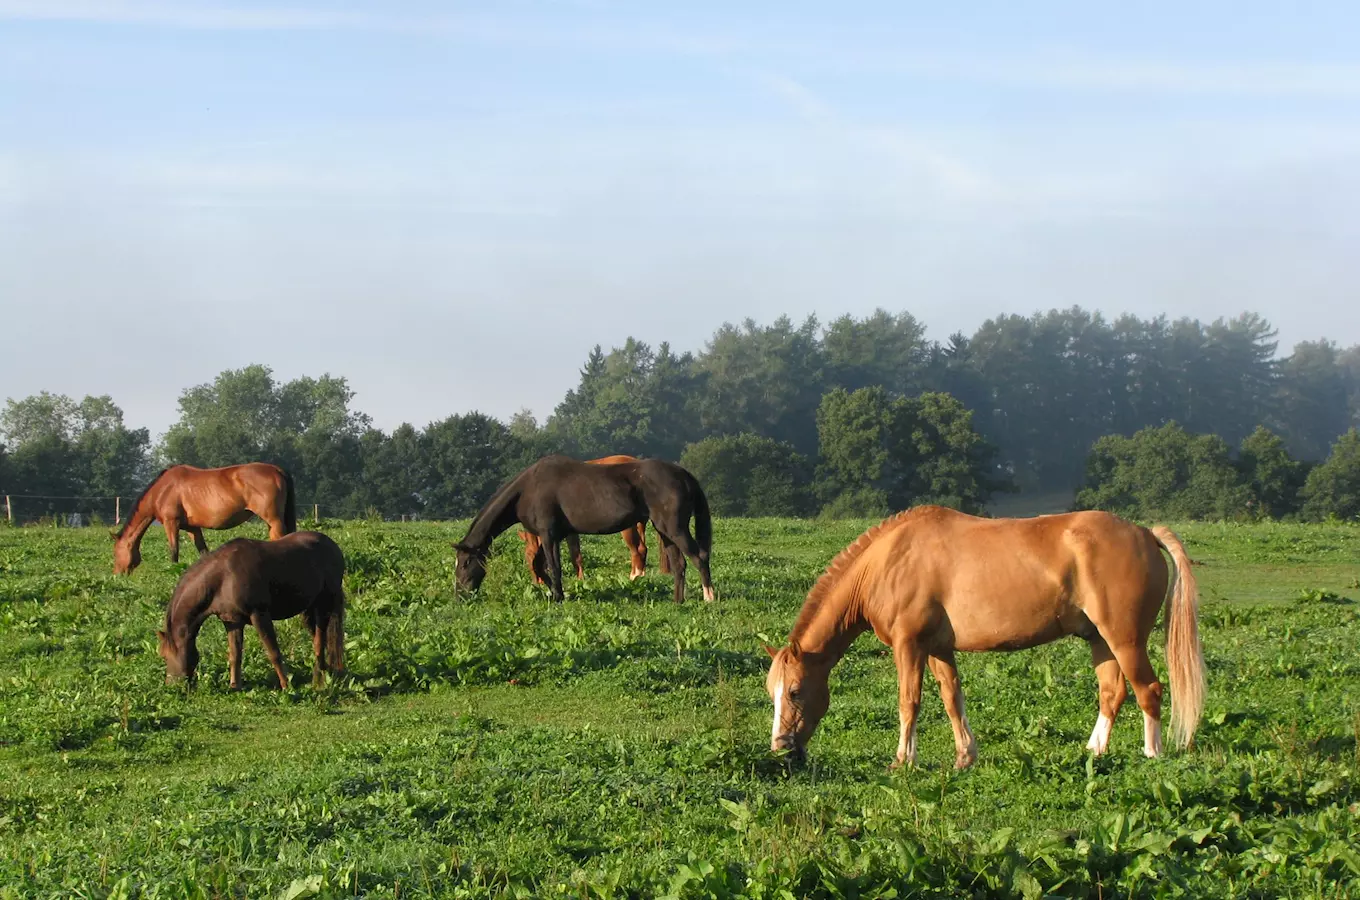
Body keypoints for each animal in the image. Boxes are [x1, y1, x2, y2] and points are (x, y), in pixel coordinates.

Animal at [113, 464, 295, 579]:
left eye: (115, 553)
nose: (117, 574)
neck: (162, 489)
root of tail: (277, 470)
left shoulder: (171, 523)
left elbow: (174, 550)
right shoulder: (192, 528)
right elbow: (203, 551)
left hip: (274, 521)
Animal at [156, 532, 345, 693]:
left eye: (165, 656)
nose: (171, 686)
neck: (224, 577)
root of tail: (333, 546)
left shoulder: (259, 615)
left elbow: (273, 653)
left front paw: (286, 686)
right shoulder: (232, 621)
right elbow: (235, 655)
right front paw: (234, 686)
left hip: (323, 604)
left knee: (320, 641)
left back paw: (319, 680)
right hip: (309, 609)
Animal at [454, 459, 718, 606]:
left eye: (466, 563)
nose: (460, 595)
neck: (527, 489)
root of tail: (684, 474)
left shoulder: (548, 535)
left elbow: (554, 567)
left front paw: (559, 596)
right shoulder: (550, 536)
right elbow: (540, 567)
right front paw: (553, 591)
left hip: (675, 529)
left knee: (700, 557)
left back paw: (709, 597)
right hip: (664, 531)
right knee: (680, 565)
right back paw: (678, 601)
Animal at [767, 511, 1202, 772]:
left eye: (795, 691)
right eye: (772, 691)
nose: (780, 746)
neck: (887, 562)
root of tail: (1145, 533)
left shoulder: (909, 646)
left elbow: (909, 702)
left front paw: (903, 760)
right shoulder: (938, 649)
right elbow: (951, 699)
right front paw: (965, 756)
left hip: (1125, 640)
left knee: (1149, 690)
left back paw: (1152, 753)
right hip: (1100, 640)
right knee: (1112, 693)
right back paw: (1094, 750)